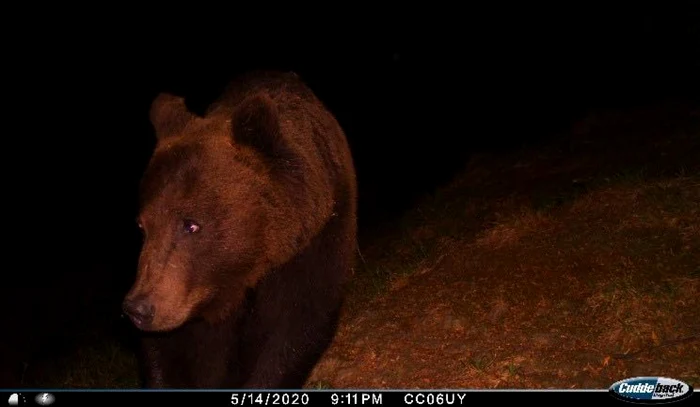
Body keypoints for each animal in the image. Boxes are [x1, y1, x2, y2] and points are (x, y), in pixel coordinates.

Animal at [121, 71, 358, 388]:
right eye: (141, 227)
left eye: (191, 225)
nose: (138, 308)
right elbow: (168, 349)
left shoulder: (315, 243)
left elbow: (297, 323)